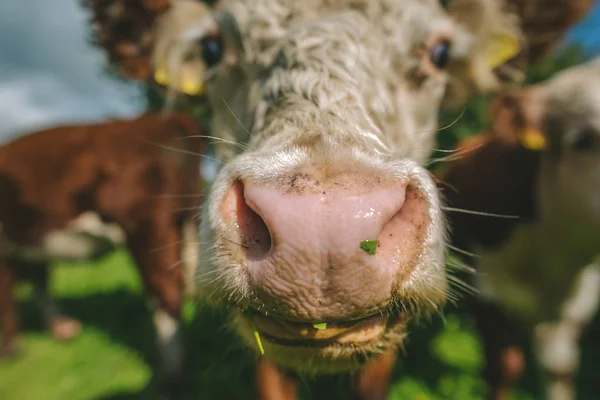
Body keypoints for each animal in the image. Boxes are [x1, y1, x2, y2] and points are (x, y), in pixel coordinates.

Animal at [0, 112, 206, 396]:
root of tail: (164, 119)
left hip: (147, 228)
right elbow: (40, 280)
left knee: (167, 292)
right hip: (185, 225)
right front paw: (61, 328)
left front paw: (9, 350)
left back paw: (169, 380)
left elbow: (7, 297)